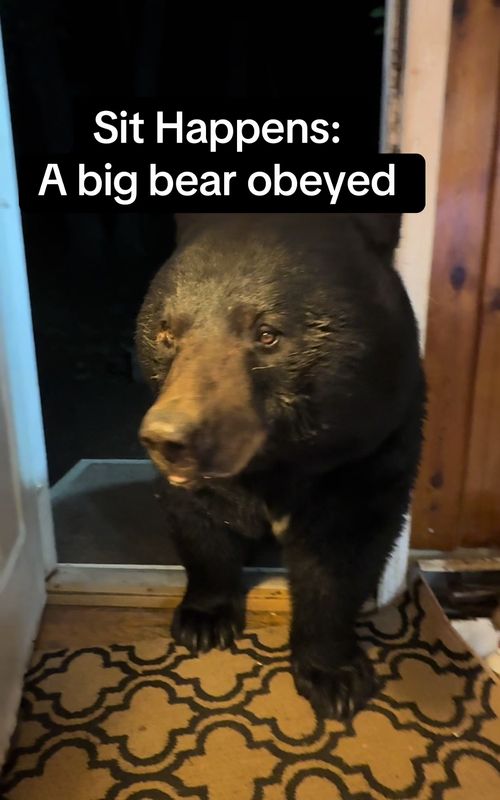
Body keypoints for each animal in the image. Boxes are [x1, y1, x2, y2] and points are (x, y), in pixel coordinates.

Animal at [135, 213, 426, 719]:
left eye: (267, 333)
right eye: (167, 333)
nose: (169, 437)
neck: (276, 463)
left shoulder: (374, 448)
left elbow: (341, 554)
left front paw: (334, 676)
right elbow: (198, 522)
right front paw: (204, 619)